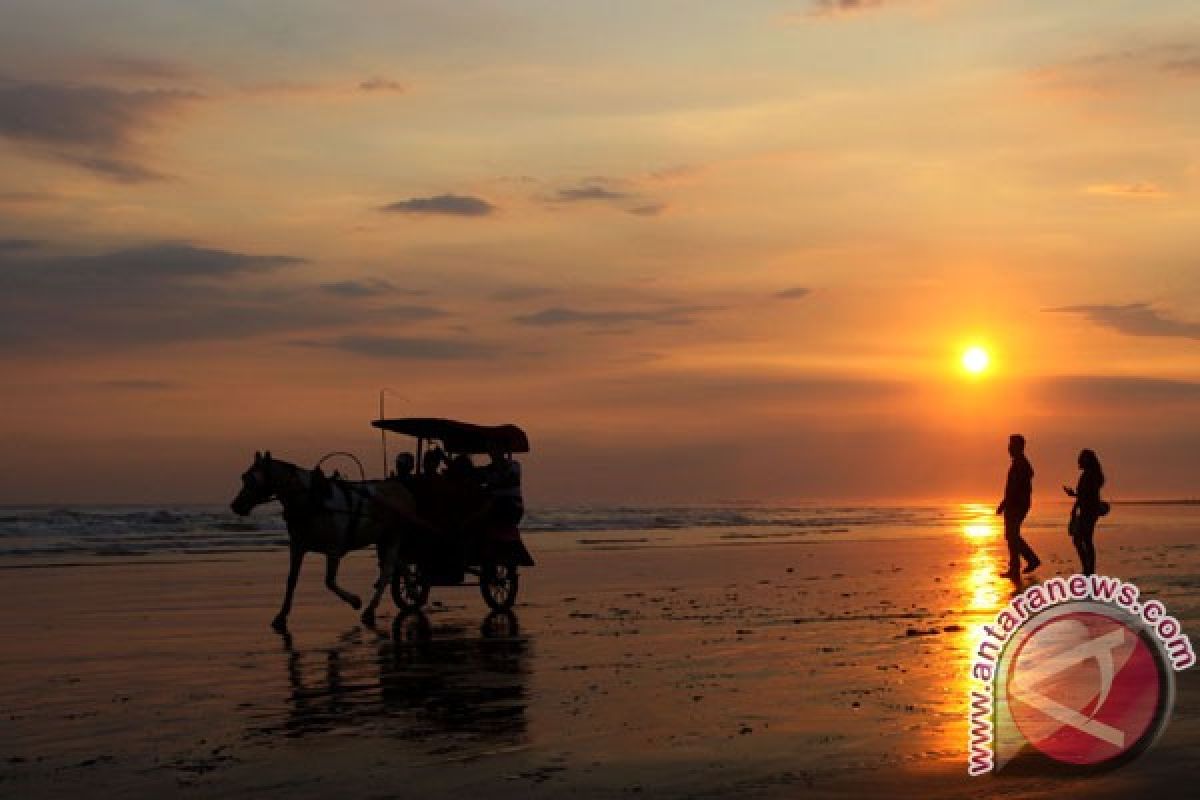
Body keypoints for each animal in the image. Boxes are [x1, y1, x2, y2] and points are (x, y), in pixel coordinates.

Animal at [228, 450, 417, 633]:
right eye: (244, 477)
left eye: (254, 479)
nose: (235, 505)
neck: (312, 499)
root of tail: (401, 489)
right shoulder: (297, 547)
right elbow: (291, 581)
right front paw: (281, 616)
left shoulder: (333, 550)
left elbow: (329, 581)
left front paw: (354, 601)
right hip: (381, 540)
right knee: (400, 564)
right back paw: (412, 590)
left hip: (393, 536)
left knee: (387, 571)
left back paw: (371, 609)